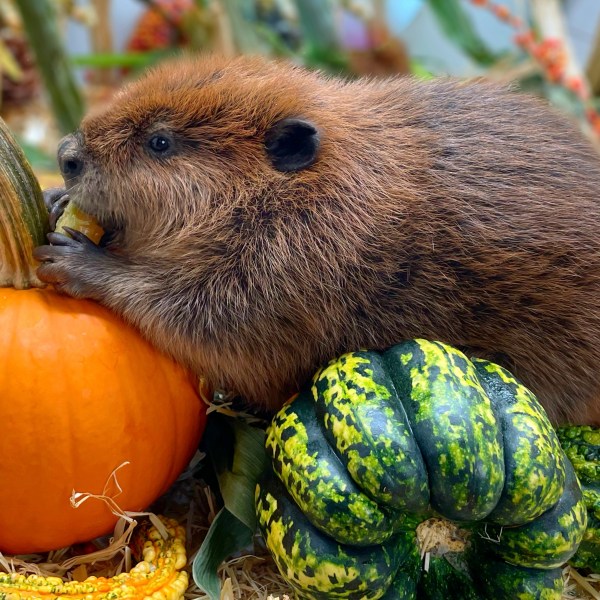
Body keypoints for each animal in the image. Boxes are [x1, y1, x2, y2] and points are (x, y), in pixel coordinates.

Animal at [34, 54, 600, 424]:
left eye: (159, 141)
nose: (66, 154)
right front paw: (56, 202)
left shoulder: (291, 270)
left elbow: (204, 321)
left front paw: (75, 259)